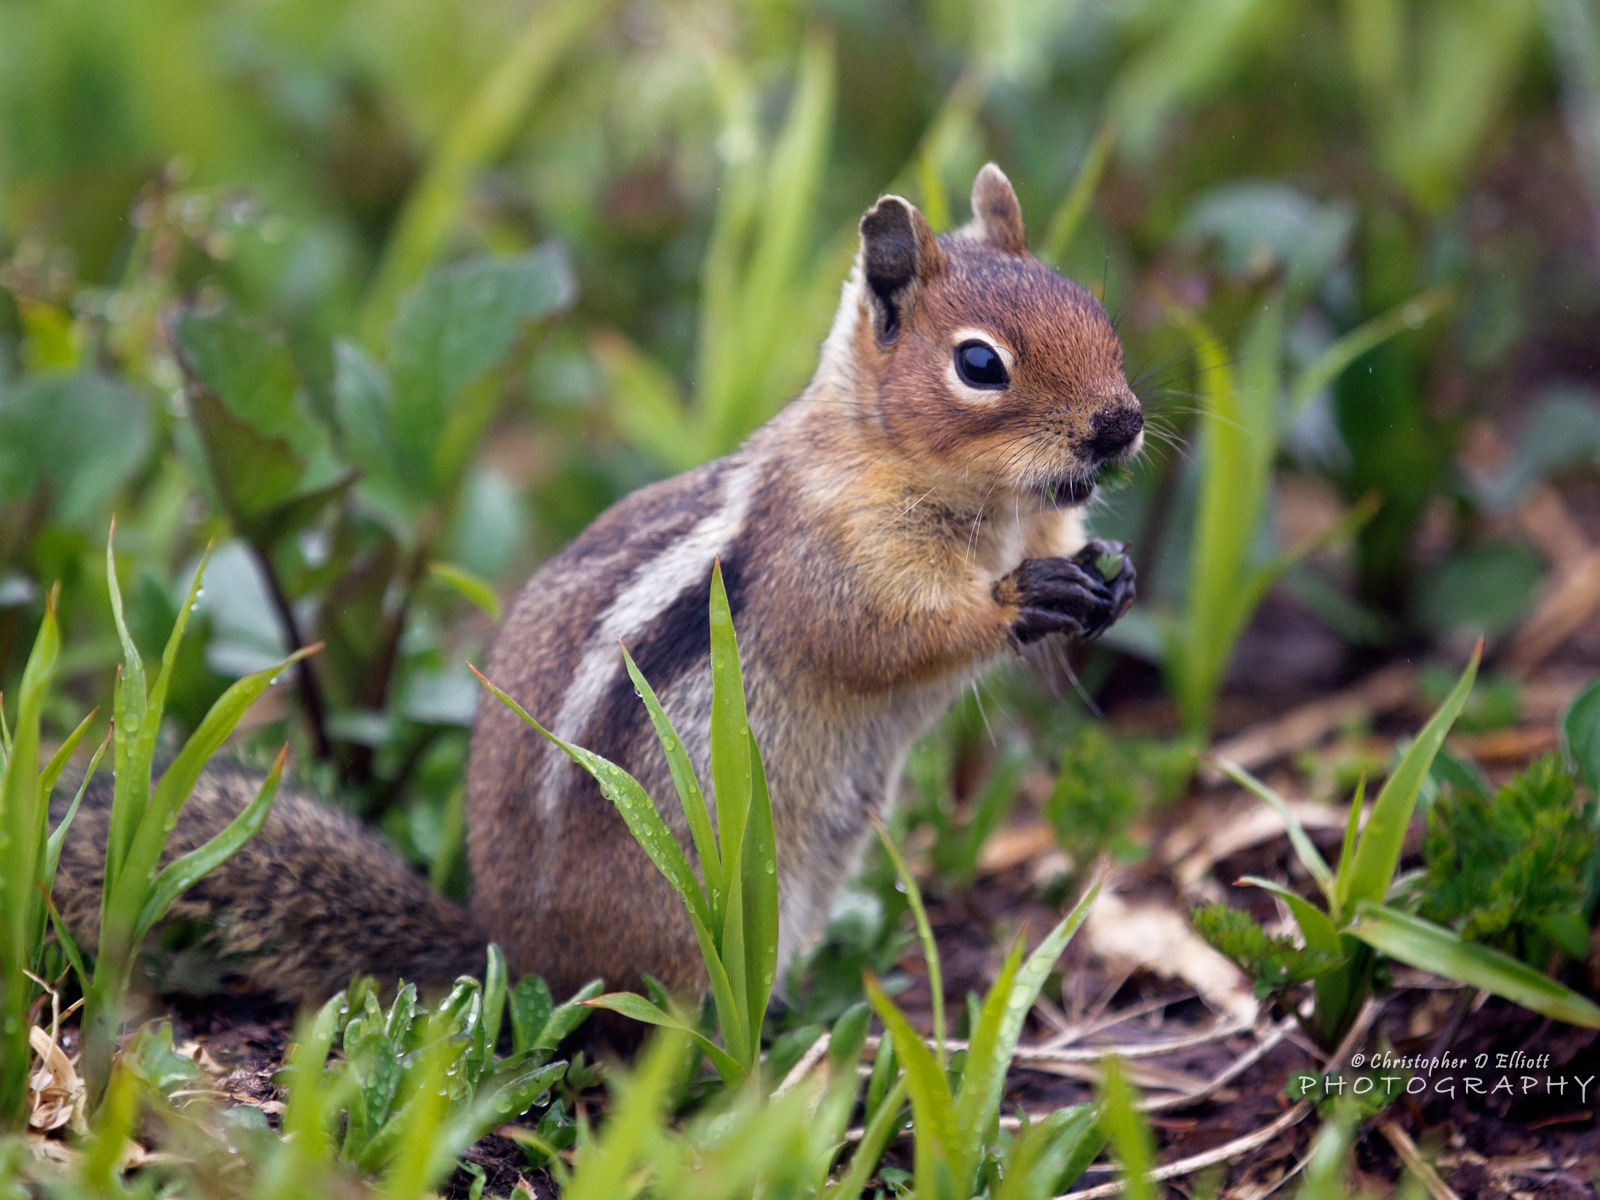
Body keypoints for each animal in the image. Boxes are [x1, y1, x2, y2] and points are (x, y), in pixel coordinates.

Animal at [56, 167, 1145, 1004]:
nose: (1122, 424)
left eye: (1095, 308)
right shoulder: (829, 558)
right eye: (979, 364)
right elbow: (886, 634)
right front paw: (1021, 601)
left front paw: (1115, 575)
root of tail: (512, 950)